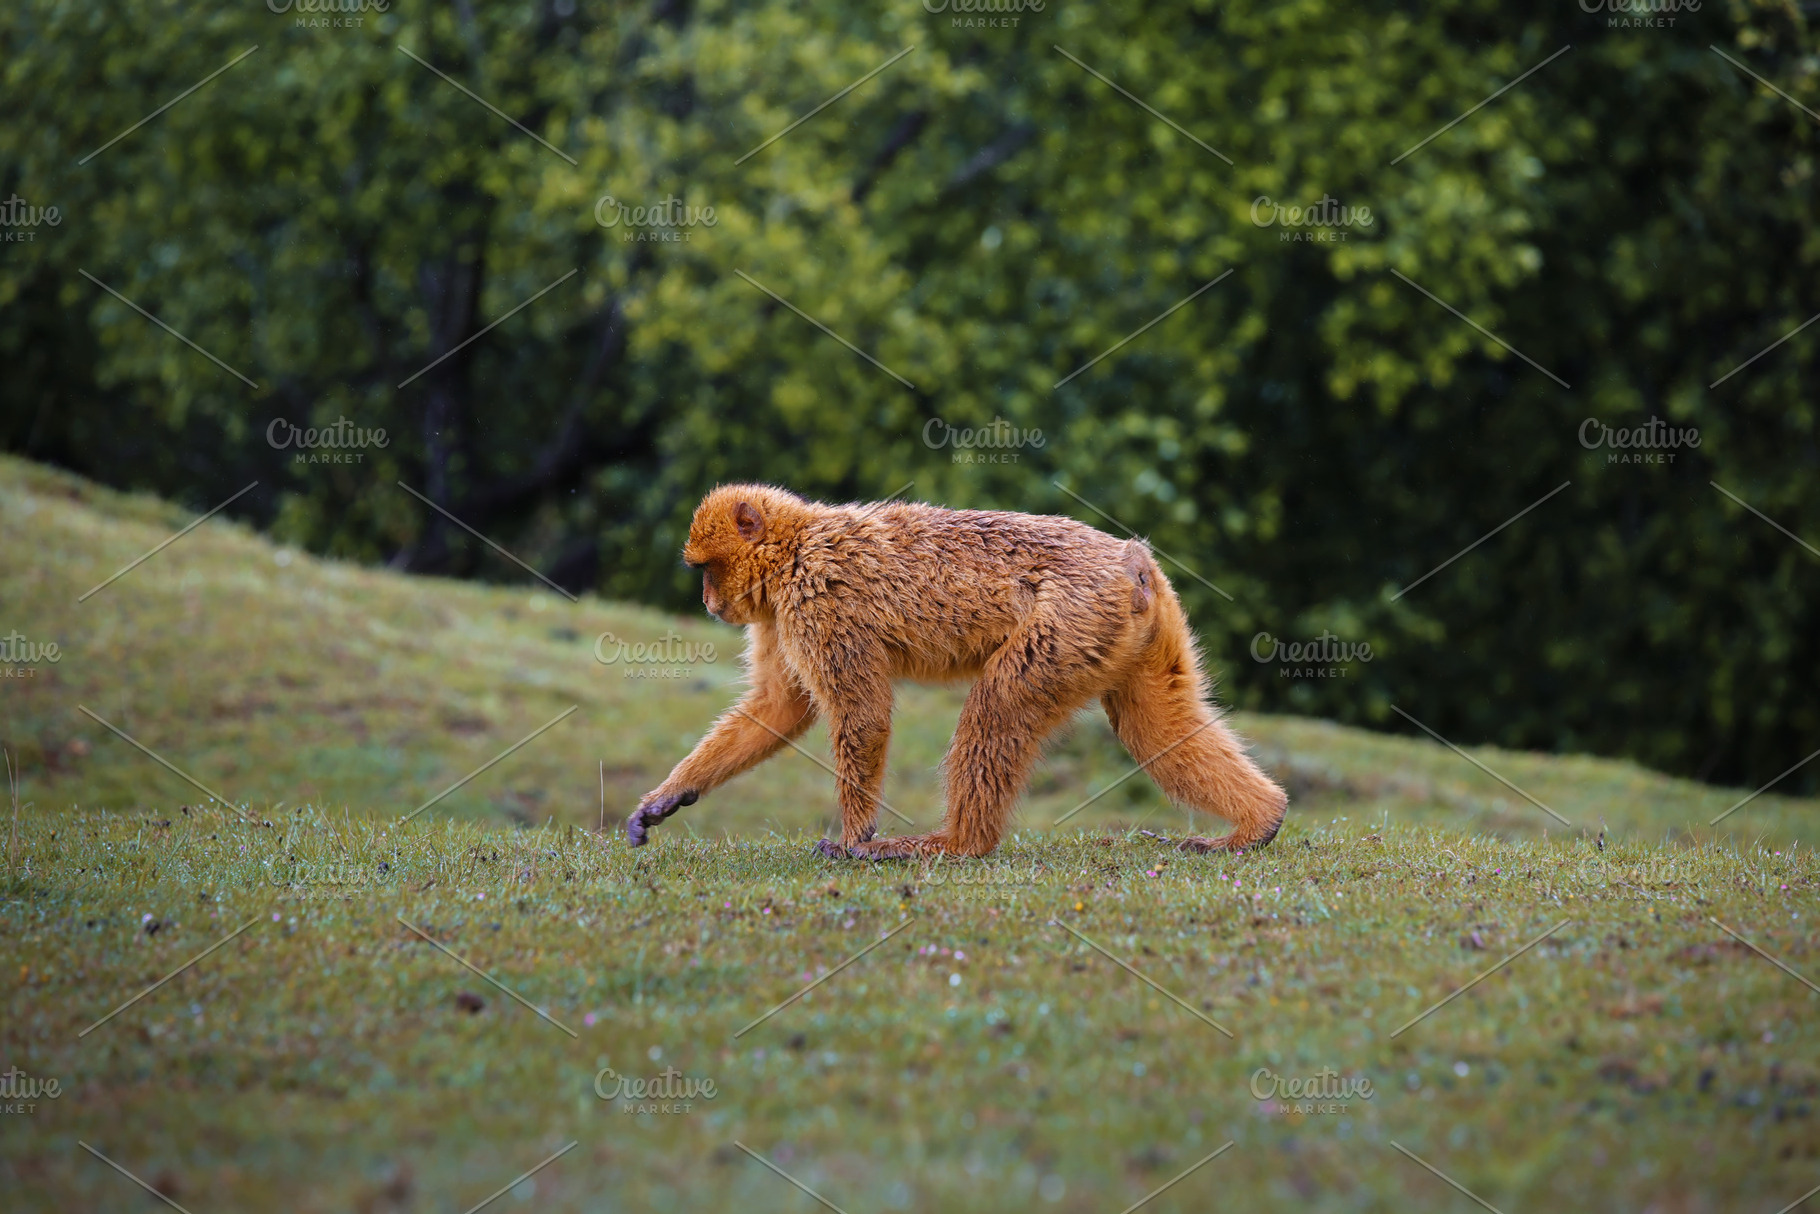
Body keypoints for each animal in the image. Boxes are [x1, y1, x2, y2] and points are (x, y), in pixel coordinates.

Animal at [625, 484, 1288, 860]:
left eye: (706, 569)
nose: (710, 603)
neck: (795, 548)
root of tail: (1131, 564)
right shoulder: (778, 615)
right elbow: (778, 708)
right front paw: (668, 797)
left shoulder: (816, 601)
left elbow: (861, 712)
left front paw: (855, 834)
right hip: (1134, 628)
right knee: (1155, 725)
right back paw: (1260, 821)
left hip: (1073, 619)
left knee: (1000, 703)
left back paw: (959, 845)